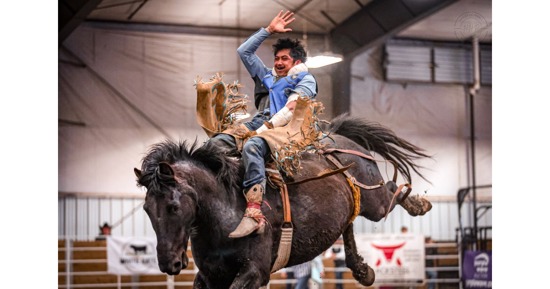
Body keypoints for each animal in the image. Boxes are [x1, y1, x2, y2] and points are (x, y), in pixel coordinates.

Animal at [135, 113, 436, 286]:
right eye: (147, 210)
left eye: (173, 207)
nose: (168, 264)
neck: (226, 211)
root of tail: (337, 138)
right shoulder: (210, 276)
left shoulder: (254, 272)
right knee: (349, 222)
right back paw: (362, 270)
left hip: (375, 201)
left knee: (391, 190)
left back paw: (420, 205)